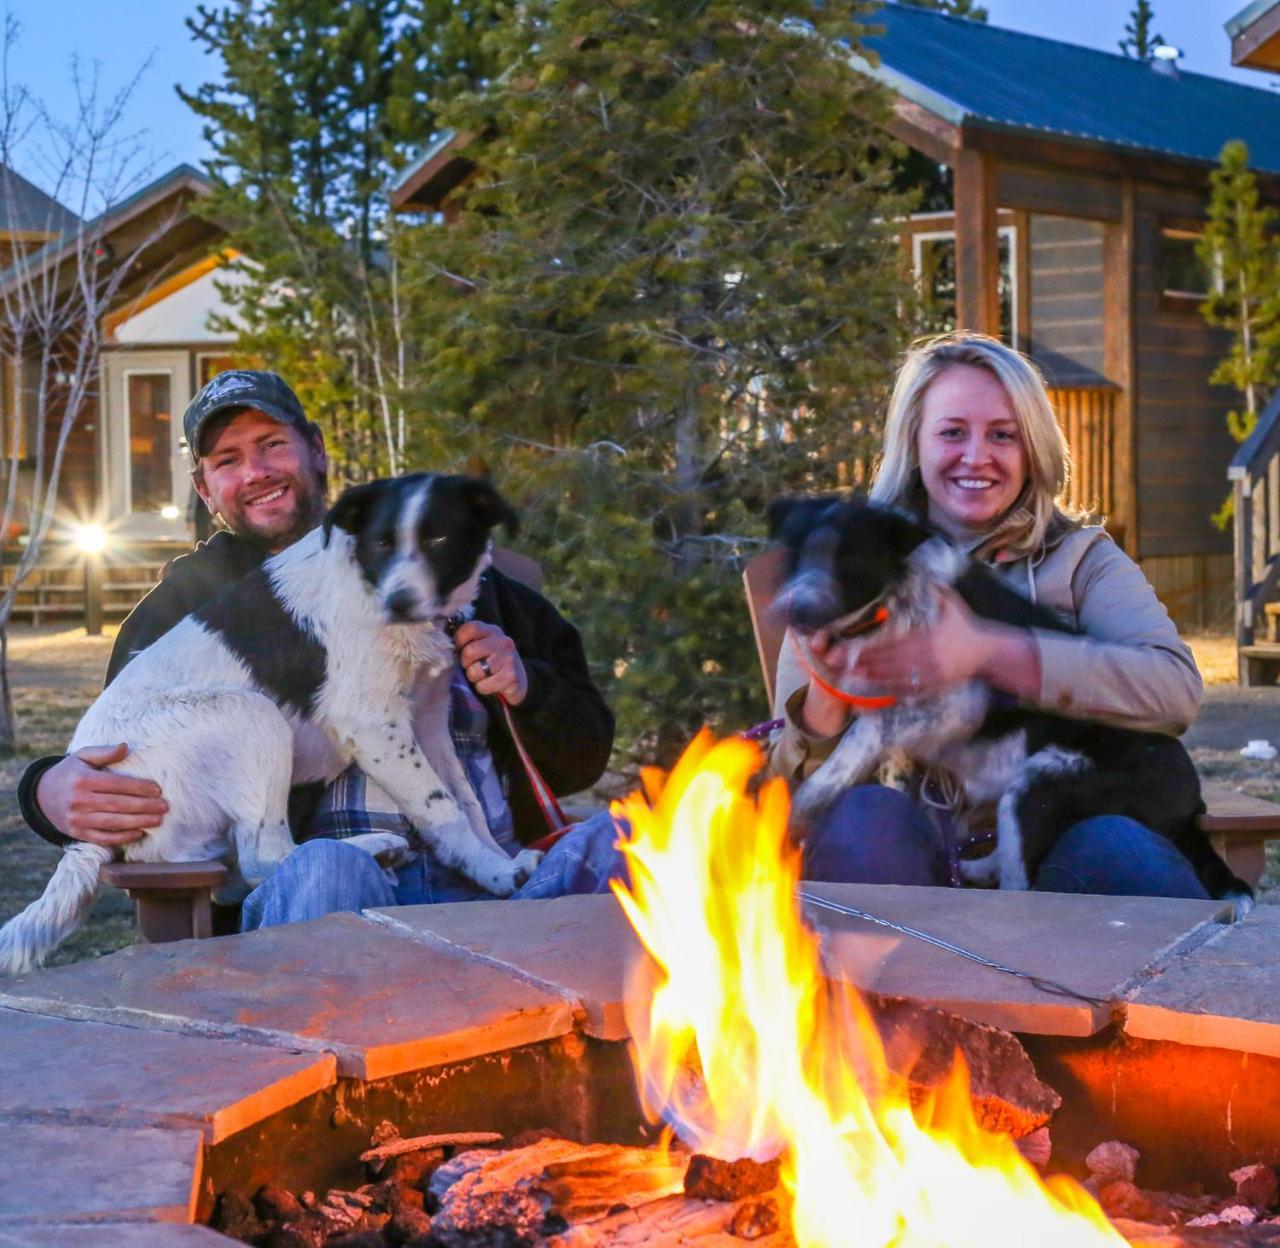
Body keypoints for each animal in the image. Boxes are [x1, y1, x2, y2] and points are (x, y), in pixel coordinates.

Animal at [0, 471, 542, 977]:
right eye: (382, 543)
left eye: (439, 539)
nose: (399, 604)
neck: (366, 580)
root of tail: (86, 843)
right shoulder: (372, 722)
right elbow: (441, 807)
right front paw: (500, 874)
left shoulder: (428, 716)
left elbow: (467, 803)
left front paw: (494, 864)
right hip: (254, 716)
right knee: (265, 857)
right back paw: (375, 848)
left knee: (236, 872)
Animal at [768, 496, 1249, 906]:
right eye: (794, 556)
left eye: (850, 562)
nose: (791, 609)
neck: (888, 607)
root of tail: (1193, 802)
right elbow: (881, 761)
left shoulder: (954, 700)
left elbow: (859, 738)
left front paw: (805, 803)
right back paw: (971, 869)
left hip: (1040, 786)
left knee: (1021, 880)